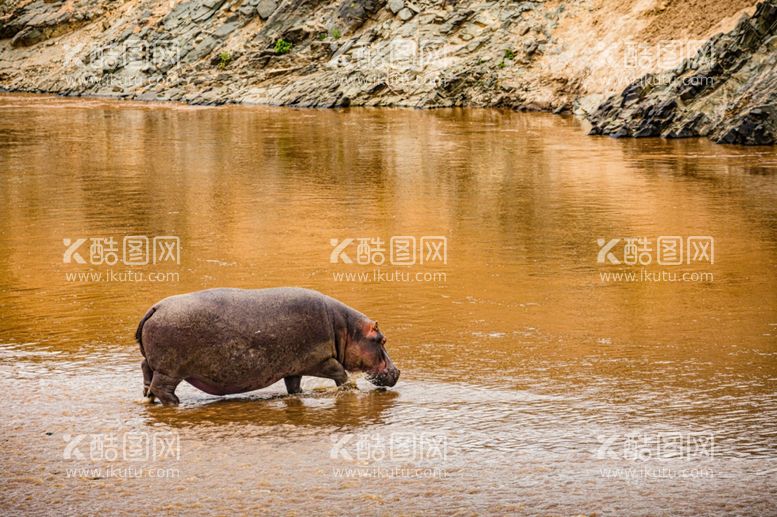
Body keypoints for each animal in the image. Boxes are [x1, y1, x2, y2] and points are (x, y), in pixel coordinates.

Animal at [135, 286, 400, 404]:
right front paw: (351, 390)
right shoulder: (321, 359)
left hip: (153, 365)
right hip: (170, 370)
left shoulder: (294, 366)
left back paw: (148, 399)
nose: (397, 372)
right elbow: (340, 373)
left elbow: (294, 386)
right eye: (382, 339)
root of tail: (154, 308)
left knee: (146, 375)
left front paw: (300, 395)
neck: (345, 329)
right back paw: (176, 403)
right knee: (162, 388)